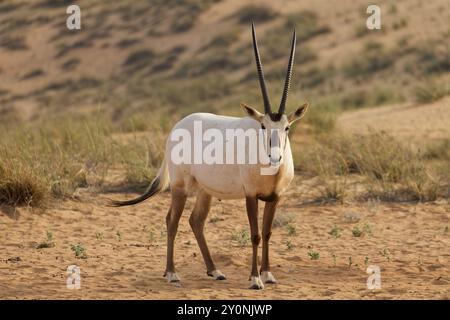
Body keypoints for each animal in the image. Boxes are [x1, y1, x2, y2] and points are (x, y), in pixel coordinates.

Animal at [112, 24, 310, 290]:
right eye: (263, 126)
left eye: (287, 127)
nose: (275, 157)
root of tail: (176, 127)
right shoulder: (250, 195)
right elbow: (255, 234)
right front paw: (255, 279)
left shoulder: (275, 196)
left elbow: (267, 232)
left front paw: (268, 274)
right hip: (180, 187)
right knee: (171, 220)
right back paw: (172, 273)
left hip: (204, 190)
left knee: (196, 221)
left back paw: (215, 271)